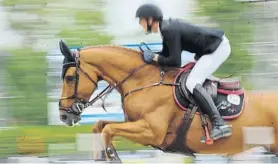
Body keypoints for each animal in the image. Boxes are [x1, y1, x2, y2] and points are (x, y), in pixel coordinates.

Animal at [57, 39, 278, 161]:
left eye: (69, 78)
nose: (63, 116)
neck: (144, 81)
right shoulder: (134, 123)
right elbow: (100, 125)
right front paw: (105, 156)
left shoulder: (151, 132)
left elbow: (108, 129)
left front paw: (110, 157)